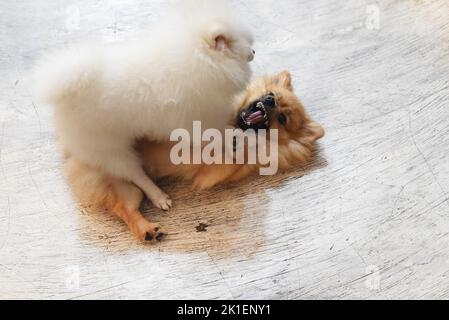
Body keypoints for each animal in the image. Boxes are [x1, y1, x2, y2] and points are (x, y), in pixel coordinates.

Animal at [34, 0, 252, 210]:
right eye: (242, 44)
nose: (254, 51)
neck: (201, 59)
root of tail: (65, 95)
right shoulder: (194, 119)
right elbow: (213, 135)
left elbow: (221, 128)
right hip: (108, 149)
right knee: (135, 174)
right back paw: (158, 196)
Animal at [64, 72, 322, 242]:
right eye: (270, 94)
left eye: (283, 118)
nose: (270, 100)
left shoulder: (215, 170)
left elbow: (234, 155)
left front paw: (239, 143)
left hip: (131, 191)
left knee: (126, 209)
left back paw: (148, 228)